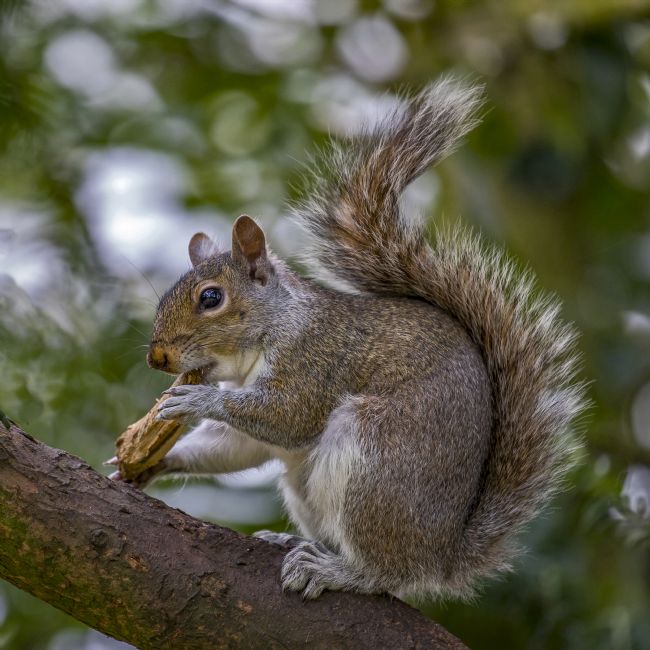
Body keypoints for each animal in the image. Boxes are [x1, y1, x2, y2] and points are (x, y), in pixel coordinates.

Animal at [145, 77, 586, 601]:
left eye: (211, 298)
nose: (157, 356)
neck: (275, 328)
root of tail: (441, 556)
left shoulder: (317, 357)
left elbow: (287, 416)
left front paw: (196, 401)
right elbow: (238, 445)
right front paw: (150, 462)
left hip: (374, 460)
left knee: (386, 573)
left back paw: (337, 570)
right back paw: (291, 542)